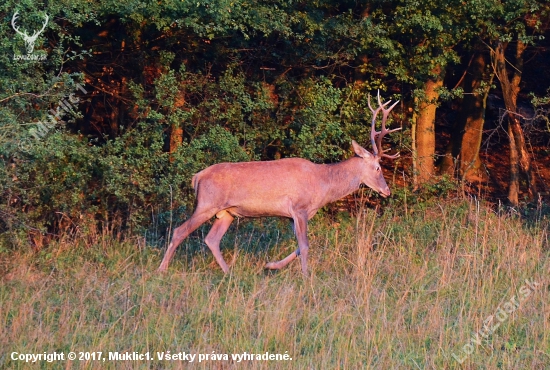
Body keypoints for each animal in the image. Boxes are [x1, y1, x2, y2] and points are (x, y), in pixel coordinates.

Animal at [158, 92, 402, 274]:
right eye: (378, 167)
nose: (387, 191)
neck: (323, 184)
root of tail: (197, 177)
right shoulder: (300, 208)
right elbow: (305, 245)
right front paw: (306, 276)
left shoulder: (293, 215)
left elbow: (299, 246)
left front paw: (270, 265)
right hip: (207, 203)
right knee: (179, 231)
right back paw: (162, 269)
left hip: (226, 213)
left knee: (211, 239)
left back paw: (228, 272)